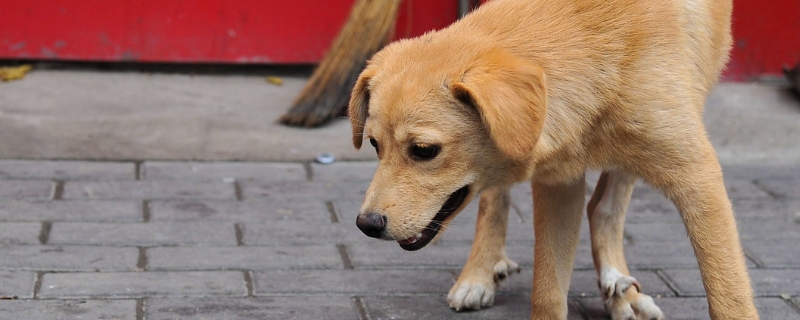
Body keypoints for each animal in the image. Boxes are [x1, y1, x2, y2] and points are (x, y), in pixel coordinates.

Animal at [348, 0, 756, 318]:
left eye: (424, 150)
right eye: (374, 145)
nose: (366, 224)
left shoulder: (697, 178)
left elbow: (730, 294)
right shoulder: (559, 184)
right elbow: (547, 292)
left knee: (605, 205)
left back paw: (619, 284)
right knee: (497, 201)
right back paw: (477, 275)